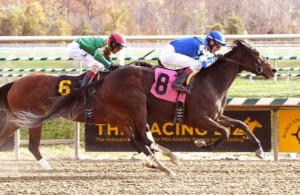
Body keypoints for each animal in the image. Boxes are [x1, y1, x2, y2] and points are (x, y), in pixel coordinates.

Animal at [13, 40, 276, 177]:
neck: (211, 81)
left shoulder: (217, 115)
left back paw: (162, 161)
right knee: (140, 137)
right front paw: (203, 144)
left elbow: (240, 124)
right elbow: (225, 132)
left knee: (141, 139)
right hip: (136, 107)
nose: (272, 70)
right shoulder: (199, 119)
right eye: (257, 53)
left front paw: (259, 150)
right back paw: (164, 165)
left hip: (128, 113)